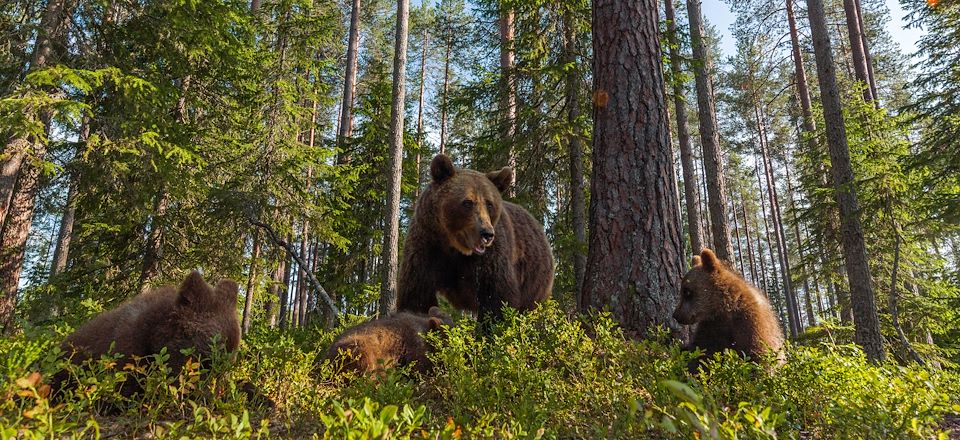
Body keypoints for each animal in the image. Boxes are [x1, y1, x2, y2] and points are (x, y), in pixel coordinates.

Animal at [394, 155, 552, 320]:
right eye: (467, 202)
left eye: (489, 204)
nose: (487, 234)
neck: (455, 246)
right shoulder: (427, 244)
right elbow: (418, 294)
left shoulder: (490, 258)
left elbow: (496, 299)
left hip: (534, 278)